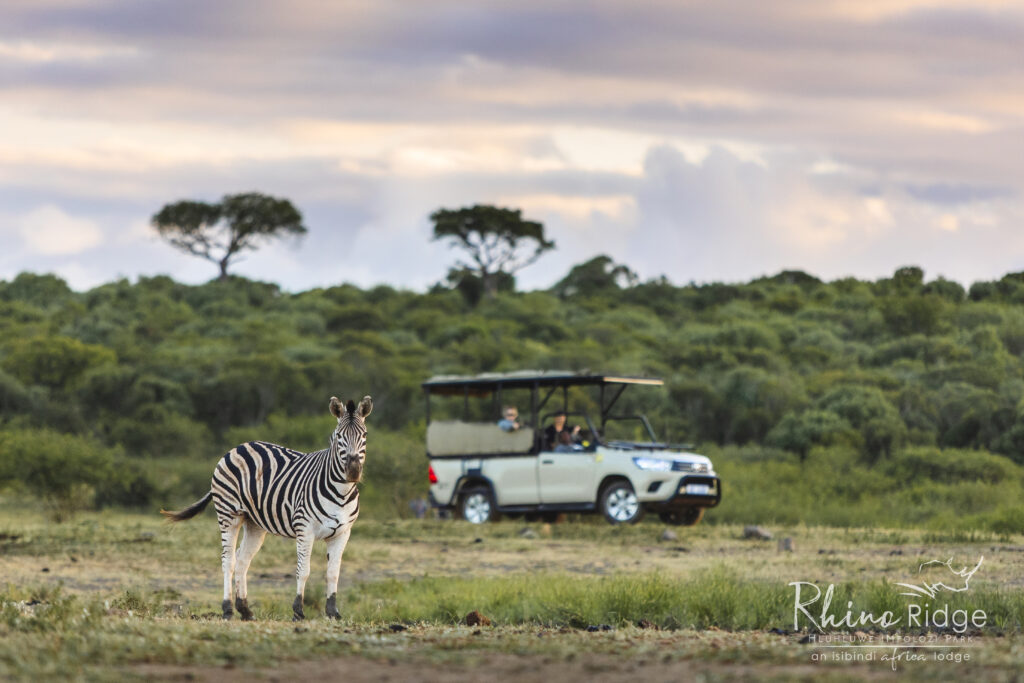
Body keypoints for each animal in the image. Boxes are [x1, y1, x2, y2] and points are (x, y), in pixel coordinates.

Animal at [157, 393, 370, 622]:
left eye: (364, 435)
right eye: (339, 436)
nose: (353, 471)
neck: (341, 492)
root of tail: (237, 447)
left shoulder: (342, 533)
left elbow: (333, 573)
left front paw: (333, 613)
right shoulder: (305, 529)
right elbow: (303, 570)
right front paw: (298, 611)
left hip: (255, 524)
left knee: (242, 560)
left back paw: (245, 610)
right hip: (228, 515)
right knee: (228, 561)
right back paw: (227, 609)